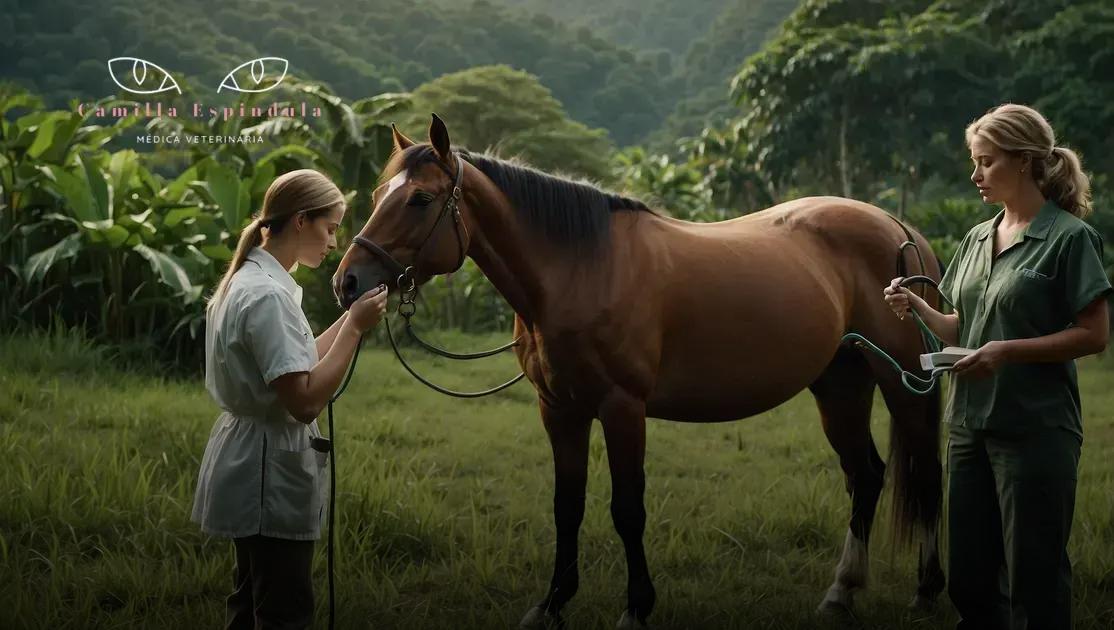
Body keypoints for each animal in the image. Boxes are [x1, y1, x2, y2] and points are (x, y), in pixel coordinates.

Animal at [329, 117, 940, 627]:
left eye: (420, 199)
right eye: (378, 195)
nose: (348, 283)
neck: (580, 269)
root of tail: (897, 226)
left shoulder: (622, 408)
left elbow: (627, 509)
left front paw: (636, 608)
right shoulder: (560, 409)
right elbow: (567, 507)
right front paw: (551, 604)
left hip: (902, 383)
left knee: (926, 471)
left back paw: (928, 589)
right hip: (840, 383)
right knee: (866, 474)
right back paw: (841, 591)